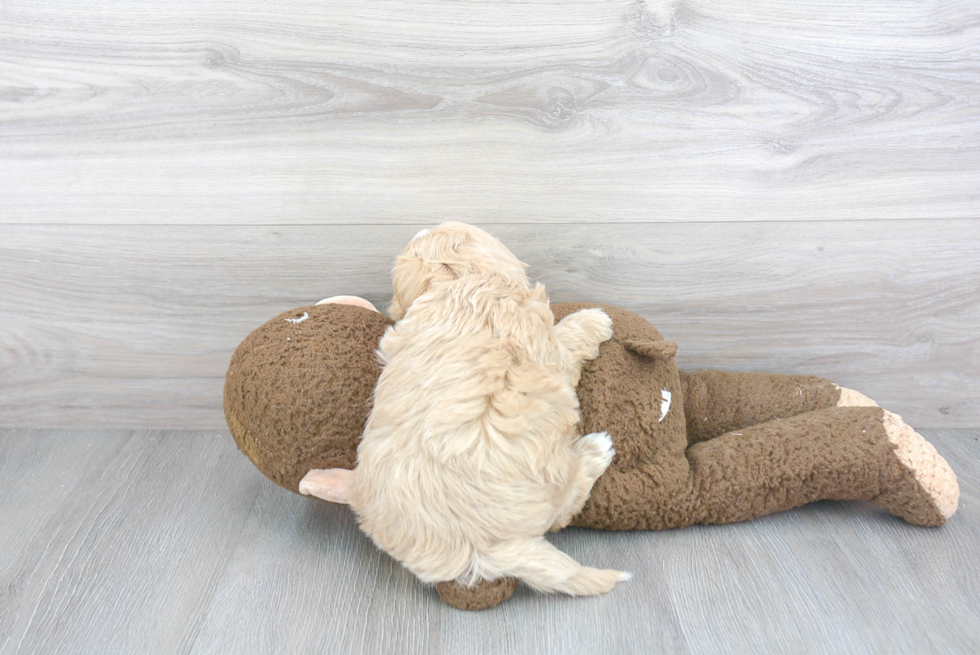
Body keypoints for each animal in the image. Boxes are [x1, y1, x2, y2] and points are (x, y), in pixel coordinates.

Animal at [344, 223, 628, 596]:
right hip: (556, 479)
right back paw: (595, 451)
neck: (470, 281)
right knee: (566, 508)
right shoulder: (550, 349)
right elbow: (566, 338)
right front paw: (594, 320)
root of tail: (476, 548)